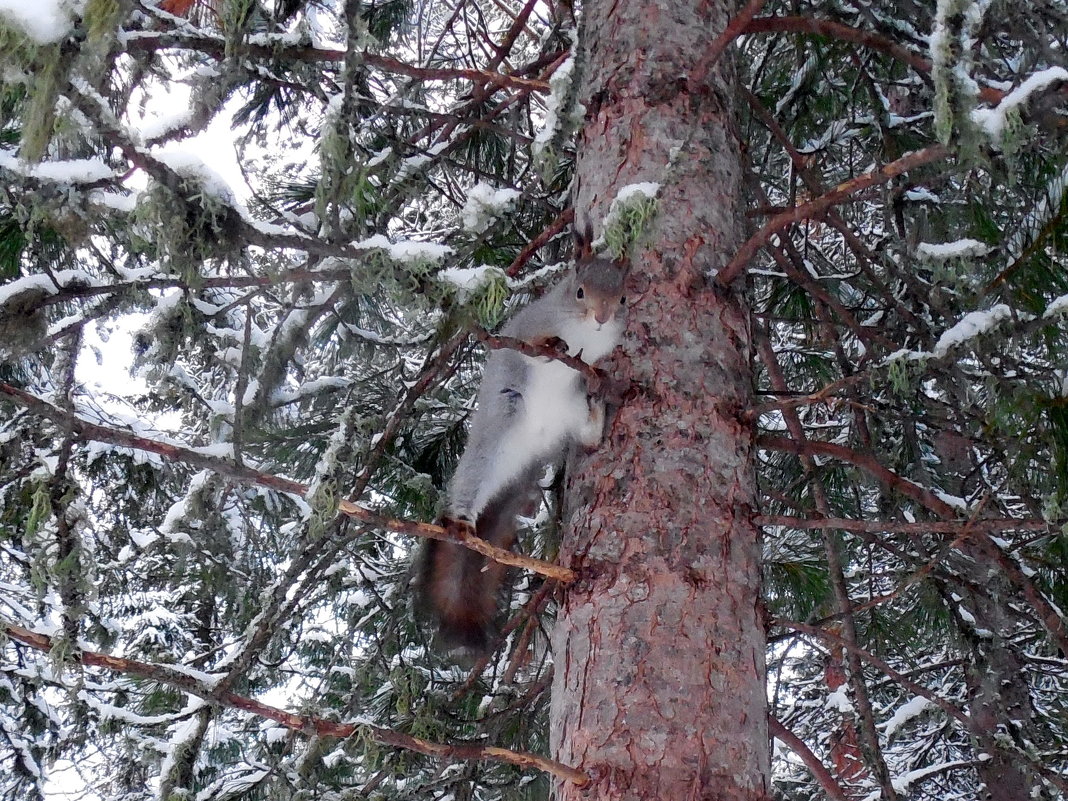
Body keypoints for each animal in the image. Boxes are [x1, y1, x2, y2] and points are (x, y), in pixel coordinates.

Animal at [420, 224, 627, 657]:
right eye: (579, 291)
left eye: (622, 297)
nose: (602, 317)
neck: (585, 337)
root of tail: (532, 447)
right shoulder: (530, 326)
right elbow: (537, 346)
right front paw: (552, 347)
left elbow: (598, 365)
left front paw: (600, 377)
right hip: (499, 428)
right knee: (473, 478)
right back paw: (460, 520)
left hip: (569, 413)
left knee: (586, 437)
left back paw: (596, 409)